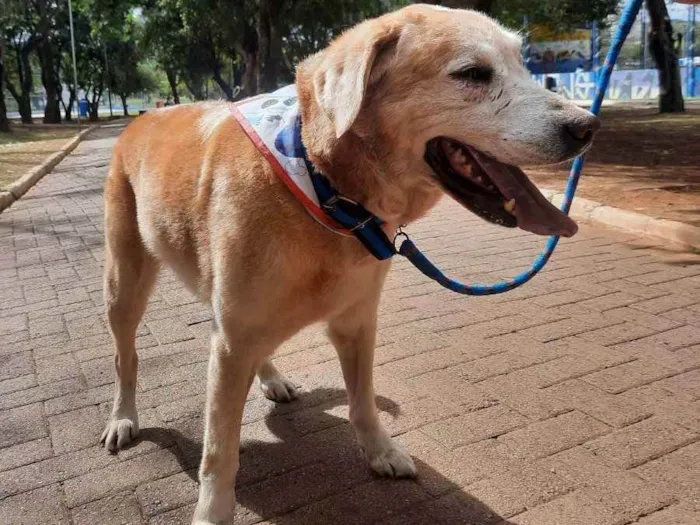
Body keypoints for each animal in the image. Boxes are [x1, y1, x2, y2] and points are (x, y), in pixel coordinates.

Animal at [101, 5, 600, 524]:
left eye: (523, 64)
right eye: (473, 73)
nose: (588, 127)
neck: (323, 188)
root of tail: (142, 118)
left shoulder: (357, 321)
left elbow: (363, 403)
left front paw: (381, 452)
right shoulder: (233, 341)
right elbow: (220, 452)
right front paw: (212, 512)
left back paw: (272, 377)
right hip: (125, 285)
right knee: (125, 358)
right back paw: (123, 418)